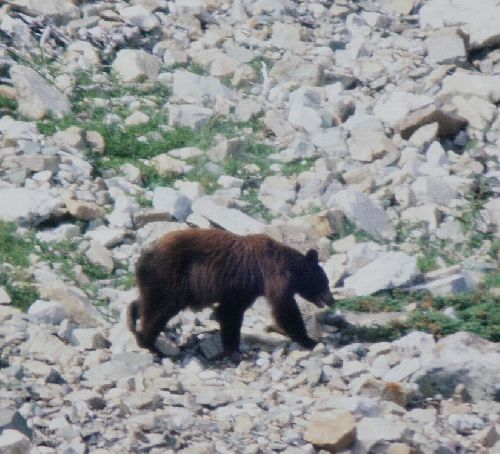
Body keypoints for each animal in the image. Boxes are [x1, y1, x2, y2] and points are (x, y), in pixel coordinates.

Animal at [127, 229, 334, 360]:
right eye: (325, 282)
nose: (332, 299)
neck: (290, 267)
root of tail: (142, 257)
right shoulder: (270, 274)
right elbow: (284, 309)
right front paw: (310, 340)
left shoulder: (243, 287)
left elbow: (230, 312)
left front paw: (233, 349)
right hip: (169, 274)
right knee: (160, 308)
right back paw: (149, 343)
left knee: (147, 301)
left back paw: (132, 317)